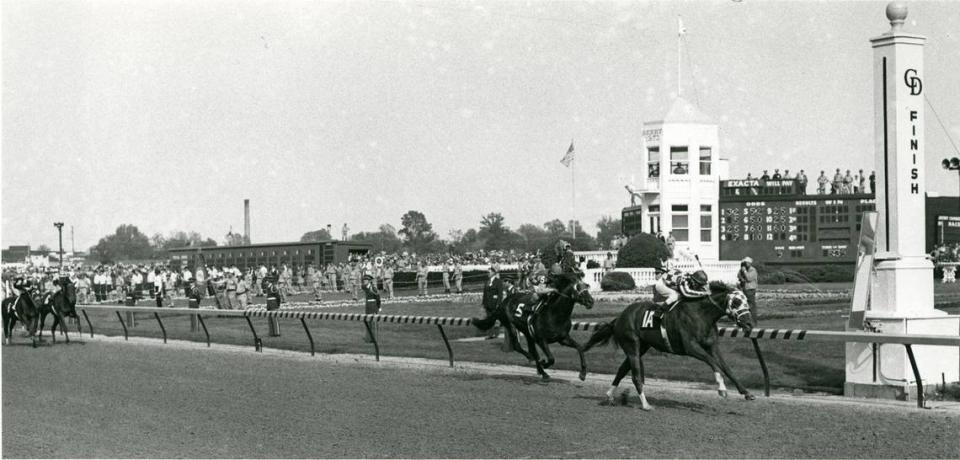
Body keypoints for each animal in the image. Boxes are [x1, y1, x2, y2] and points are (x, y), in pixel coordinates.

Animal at [580, 282, 752, 412]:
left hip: (641, 347)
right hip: (631, 344)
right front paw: (722, 389)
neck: (701, 314)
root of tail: (619, 318)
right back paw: (646, 405)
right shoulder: (691, 347)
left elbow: (726, 368)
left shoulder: (712, 346)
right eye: (736, 302)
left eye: (747, 301)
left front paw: (746, 393)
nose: (749, 324)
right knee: (635, 376)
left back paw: (609, 396)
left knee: (622, 370)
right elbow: (713, 363)